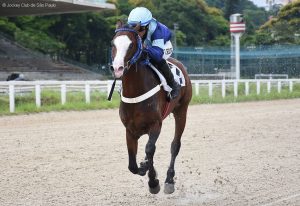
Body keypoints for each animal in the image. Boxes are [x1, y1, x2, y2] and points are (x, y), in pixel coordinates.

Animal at [110, 21, 192, 195]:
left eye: (131, 45)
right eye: (113, 44)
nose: (117, 68)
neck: (136, 93)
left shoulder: (155, 125)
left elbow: (149, 150)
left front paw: (152, 178)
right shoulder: (130, 130)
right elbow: (132, 164)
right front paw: (148, 174)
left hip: (182, 110)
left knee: (175, 145)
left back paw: (169, 180)